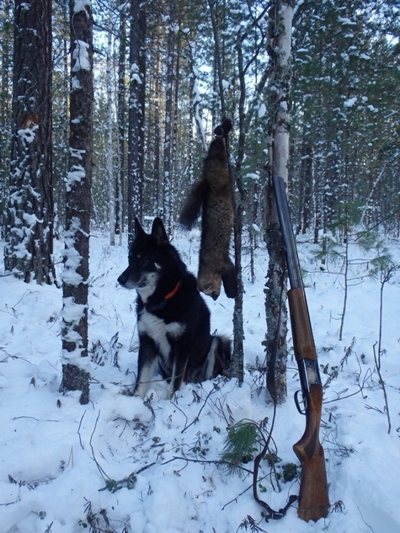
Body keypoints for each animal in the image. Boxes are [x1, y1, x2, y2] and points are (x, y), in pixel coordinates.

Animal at [117, 217, 231, 400]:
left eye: (143, 260)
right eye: (129, 258)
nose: (120, 280)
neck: (162, 299)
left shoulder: (182, 346)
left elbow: (176, 382)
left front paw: (171, 401)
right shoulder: (147, 343)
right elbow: (142, 379)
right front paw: (136, 400)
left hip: (217, 341)